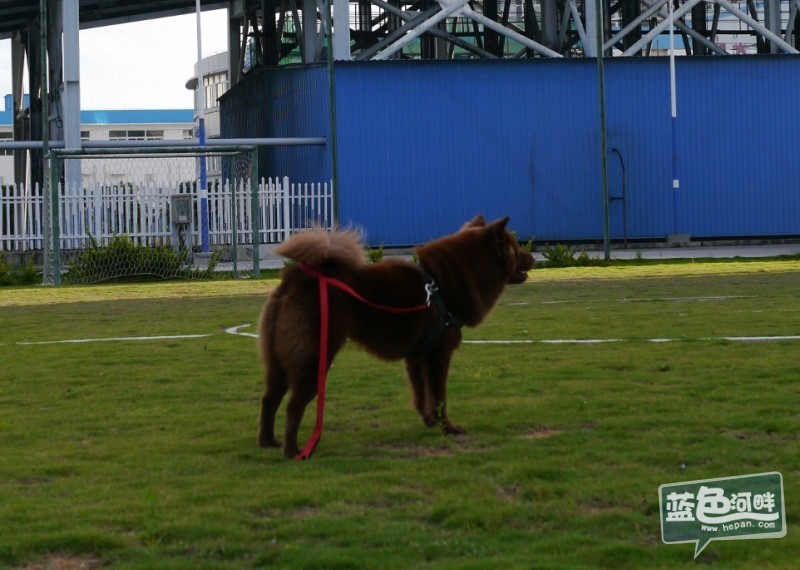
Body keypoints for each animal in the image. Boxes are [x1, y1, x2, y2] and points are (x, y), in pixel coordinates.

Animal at [258, 214, 532, 458]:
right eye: (516, 248)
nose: (531, 256)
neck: (443, 285)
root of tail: (298, 277)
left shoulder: (417, 357)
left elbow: (423, 396)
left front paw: (430, 422)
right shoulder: (438, 355)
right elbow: (439, 396)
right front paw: (448, 428)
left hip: (278, 360)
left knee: (269, 399)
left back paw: (268, 442)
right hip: (315, 359)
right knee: (293, 405)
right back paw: (293, 451)